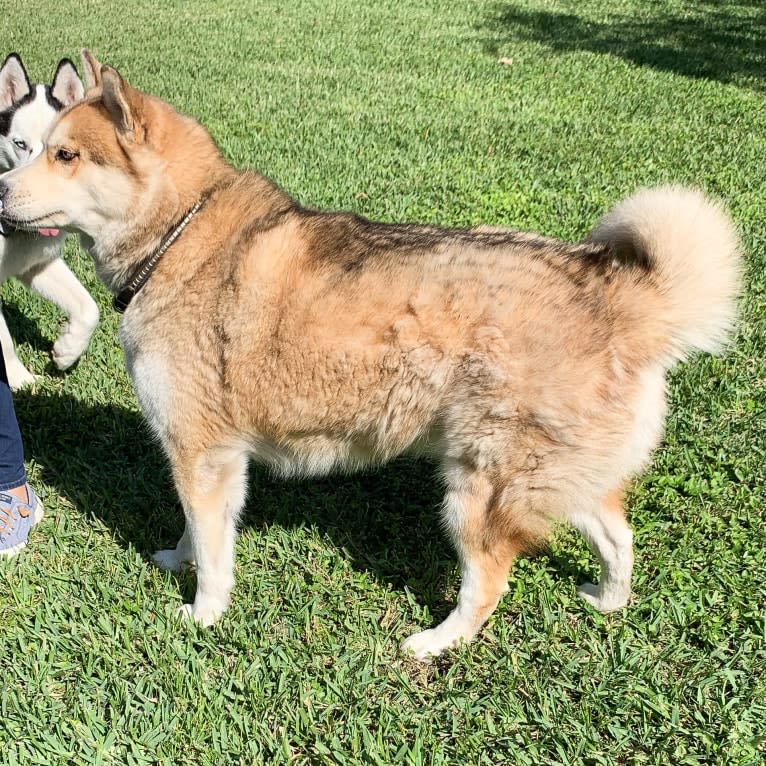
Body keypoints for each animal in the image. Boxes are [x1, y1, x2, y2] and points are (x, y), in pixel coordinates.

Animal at [0, 52, 99, 390]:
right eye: (20, 144)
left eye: (64, 153)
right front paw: (19, 380)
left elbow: (89, 308)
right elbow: (4, 339)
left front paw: (67, 351)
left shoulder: (36, 264)